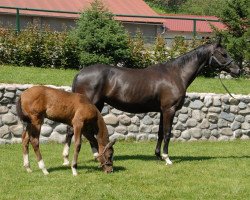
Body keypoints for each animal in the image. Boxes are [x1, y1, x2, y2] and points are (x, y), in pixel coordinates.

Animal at [64, 41, 240, 166]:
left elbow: (161, 133)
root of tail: (79, 74)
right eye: (223, 54)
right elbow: (168, 133)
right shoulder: (170, 110)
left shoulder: (163, 110)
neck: (176, 74)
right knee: (74, 130)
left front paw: (158, 155)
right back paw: (69, 159)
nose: (238, 70)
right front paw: (167, 158)